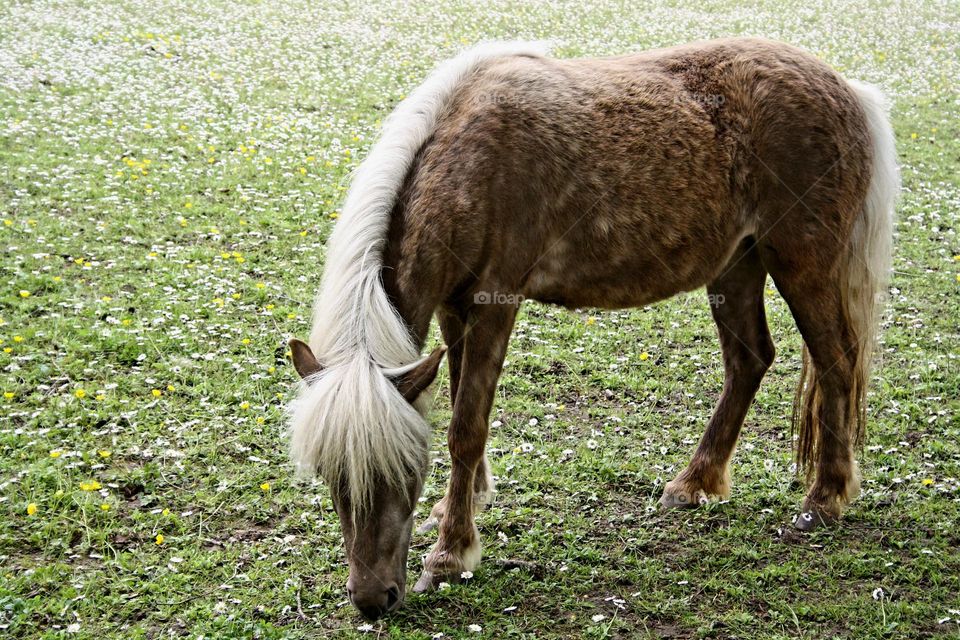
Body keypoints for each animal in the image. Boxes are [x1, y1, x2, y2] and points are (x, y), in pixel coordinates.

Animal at [287, 37, 897, 620]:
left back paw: (824, 499)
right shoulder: (453, 309)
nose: (373, 599)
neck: (468, 161)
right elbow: (461, 403)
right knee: (750, 360)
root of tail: (849, 90)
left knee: (836, 363)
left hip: (803, 265)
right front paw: (468, 502)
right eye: (330, 476)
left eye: (403, 470)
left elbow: (466, 428)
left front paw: (449, 554)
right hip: (738, 264)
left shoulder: (493, 303)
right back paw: (694, 483)